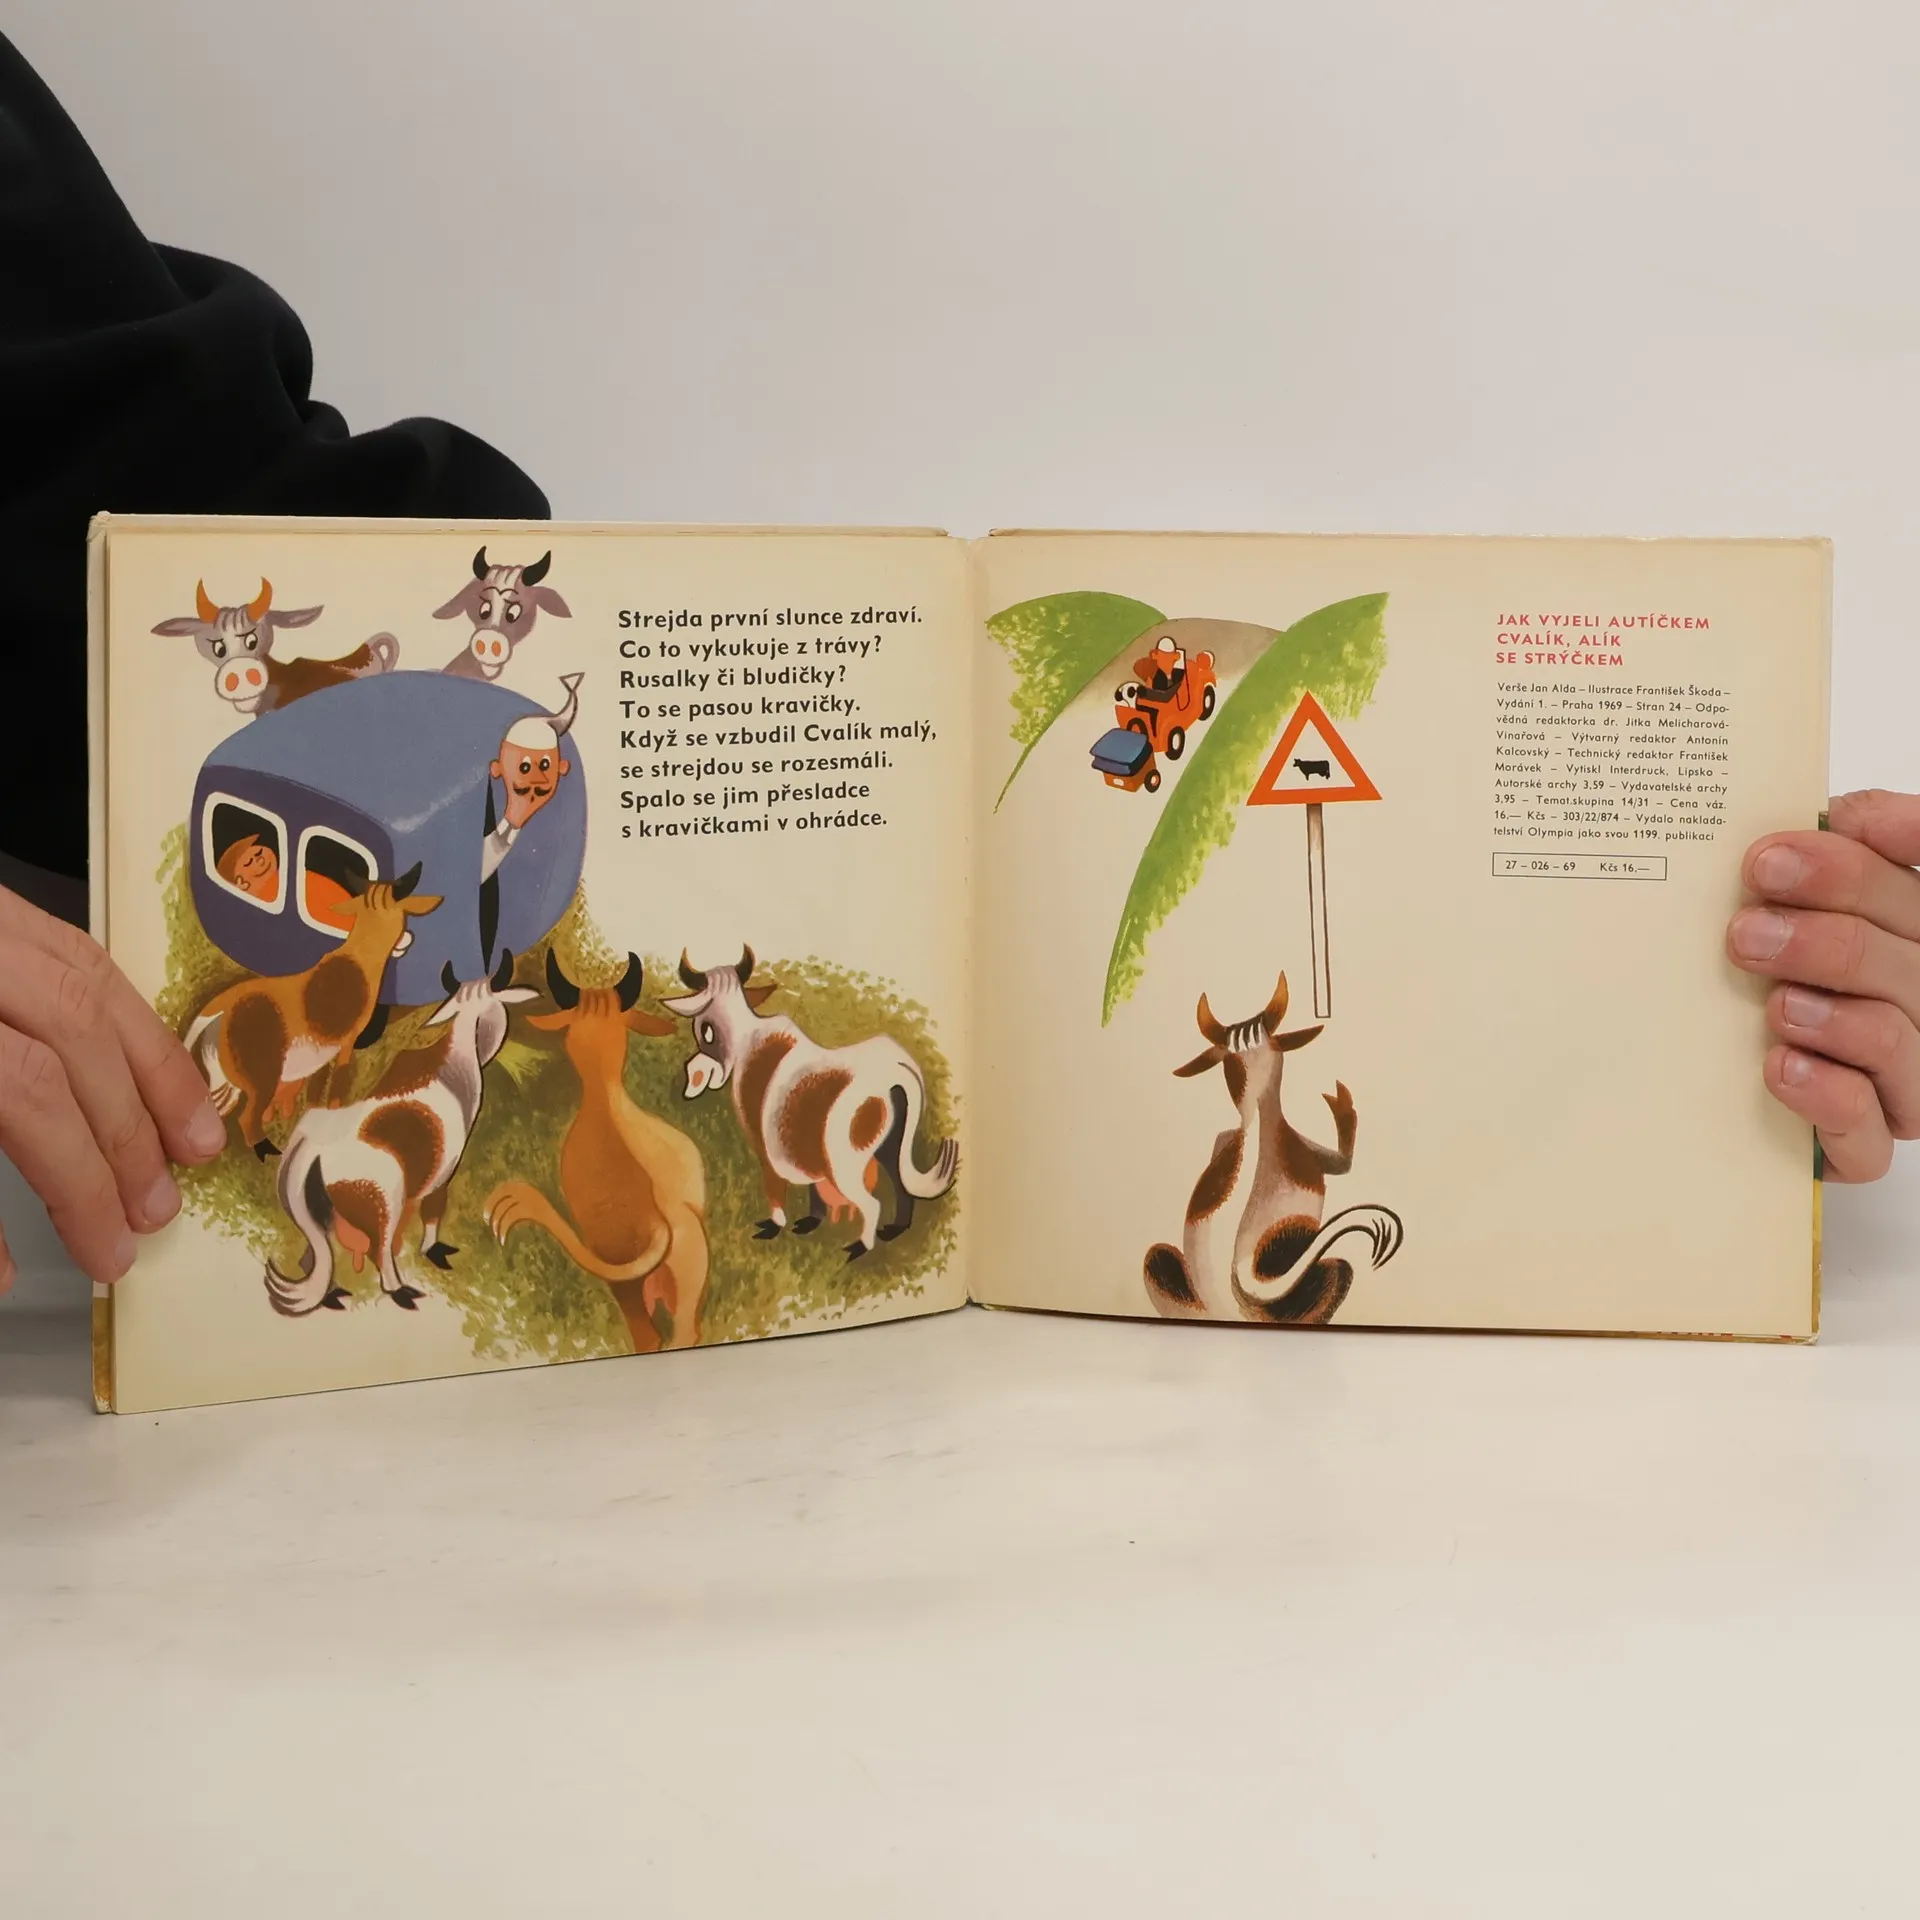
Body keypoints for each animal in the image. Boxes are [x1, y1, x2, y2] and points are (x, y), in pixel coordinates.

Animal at [184, 865, 442, 1159]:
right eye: (401, 913)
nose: (408, 938)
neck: (359, 958)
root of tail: (220, 1009)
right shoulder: (347, 1043)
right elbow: (337, 1082)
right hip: (260, 1082)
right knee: (246, 1119)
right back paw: (268, 1151)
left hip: (225, 1084)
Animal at [266, 951, 537, 1316]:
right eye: (497, 1008)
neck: (448, 1069)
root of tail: (313, 1148)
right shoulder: (443, 1174)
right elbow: (433, 1213)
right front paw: (433, 1251)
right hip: (383, 1204)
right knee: (378, 1250)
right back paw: (400, 1291)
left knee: (315, 1252)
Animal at [661, 945, 958, 1261]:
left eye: (705, 1029)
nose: (697, 1076)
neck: (747, 1041)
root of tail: (893, 1073)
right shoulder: (805, 1145)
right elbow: (814, 1186)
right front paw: (810, 1222)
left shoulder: (765, 1147)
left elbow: (775, 1187)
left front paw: (776, 1225)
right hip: (890, 1145)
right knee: (901, 1185)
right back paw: (893, 1230)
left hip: (846, 1165)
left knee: (872, 1203)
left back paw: (860, 1247)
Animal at [1143, 970, 1402, 1324]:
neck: (1255, 1109)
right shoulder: (1304, 1149)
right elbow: (1342, 1163)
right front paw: (1343, 1108)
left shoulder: (1225, 1140)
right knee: (1337, 1272)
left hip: (1167, 1271)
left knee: (1158, 1259)